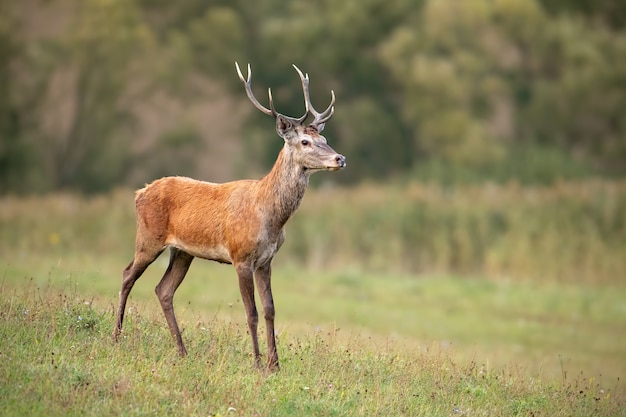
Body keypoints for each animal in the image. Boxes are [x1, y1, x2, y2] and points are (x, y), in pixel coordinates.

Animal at [112, 60, 346, 368]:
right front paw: (257, 363)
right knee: (127, 274)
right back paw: (116, 336)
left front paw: (275, 364)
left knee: (163, 290)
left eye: (325, 137)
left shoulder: (266, 260)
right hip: (148, 238)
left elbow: (270, 309)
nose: (340, 158)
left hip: (182, 251)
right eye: (305, 141)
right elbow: (252, 312)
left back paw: (182, 351)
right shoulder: (241, 256)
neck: (270, 215)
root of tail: (139, 193)